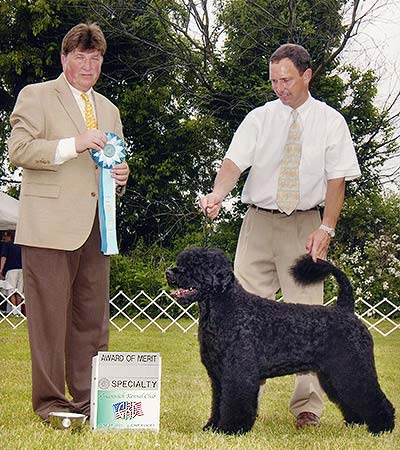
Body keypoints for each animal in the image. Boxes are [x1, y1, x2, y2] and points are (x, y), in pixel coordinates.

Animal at [165, 248, 394, 434]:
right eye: (182, 261)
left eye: (197, 265)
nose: (170, 272)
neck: (223, 308)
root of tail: (346, 310)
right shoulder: (218, 375)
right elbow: (218, 403)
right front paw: (212, 426)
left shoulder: (237, 372)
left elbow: (233, 403)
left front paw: (230, 429)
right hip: (333, 374)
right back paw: (356, 422)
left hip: (351, 368)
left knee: (372, 397)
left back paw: (382, 427)